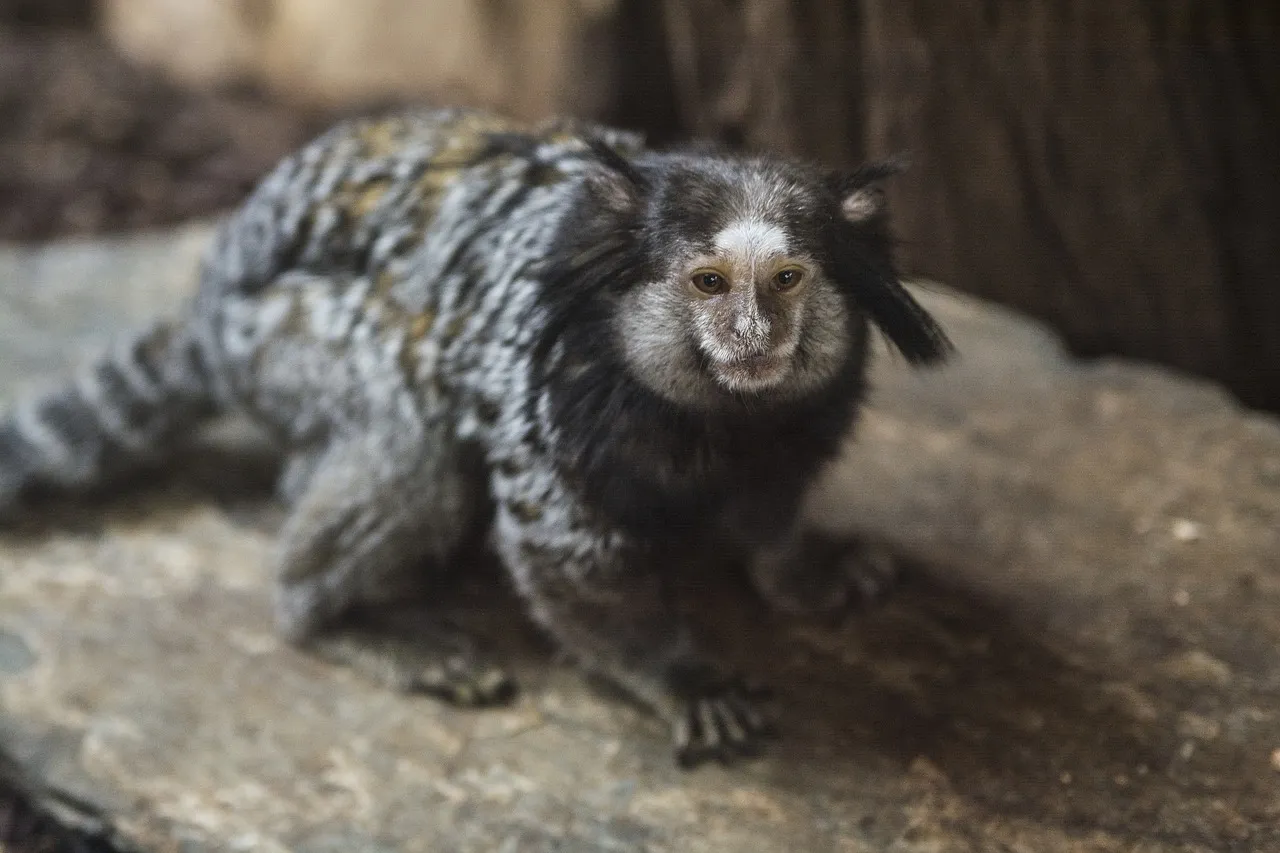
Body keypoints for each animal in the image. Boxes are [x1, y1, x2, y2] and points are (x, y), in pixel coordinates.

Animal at [0, 107, 951, 767]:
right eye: (710, 282)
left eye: (786, 278)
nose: (753, 335)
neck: (720, 417)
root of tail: (208, 303)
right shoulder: (554, 413)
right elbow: (566, 557)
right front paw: (679, 673)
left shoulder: (800, 423)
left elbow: (769, 510)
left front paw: (802, 570)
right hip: (280, 342)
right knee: (412, 455)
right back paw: (338, 617)